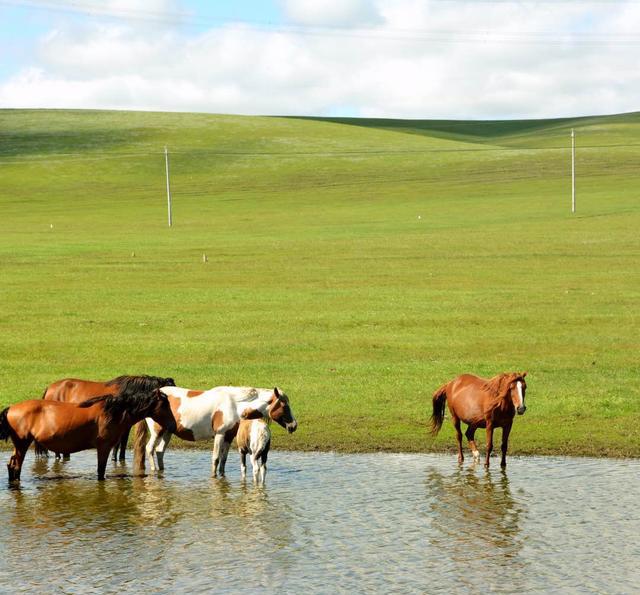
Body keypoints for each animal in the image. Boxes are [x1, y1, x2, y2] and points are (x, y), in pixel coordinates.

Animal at [0, 388, 176, 482]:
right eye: (165, 404)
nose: (173, 425)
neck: (113, 411)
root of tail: (11, 408)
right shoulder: (103, 447)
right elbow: (100, 471)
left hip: (19, 446)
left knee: (11, 466)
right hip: (22, 444)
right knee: (16, 467)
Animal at [40, 374, 175, 464]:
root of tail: (50, 388)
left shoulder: (125, 426)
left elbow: (122, 443)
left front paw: (120, 459)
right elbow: (119, 443)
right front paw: (115, 458)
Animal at [132, 386, 298, 480]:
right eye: (284, 405)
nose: (294, 425)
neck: (234, 404)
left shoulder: (229, 437)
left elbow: (223, 460)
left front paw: (222, 476)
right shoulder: (219, 434)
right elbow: (216, 459)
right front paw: (214, 477)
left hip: (167, 432)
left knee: (159, 451)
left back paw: (162, 471)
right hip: (157, 431)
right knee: (149, 449)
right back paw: (154, 471)